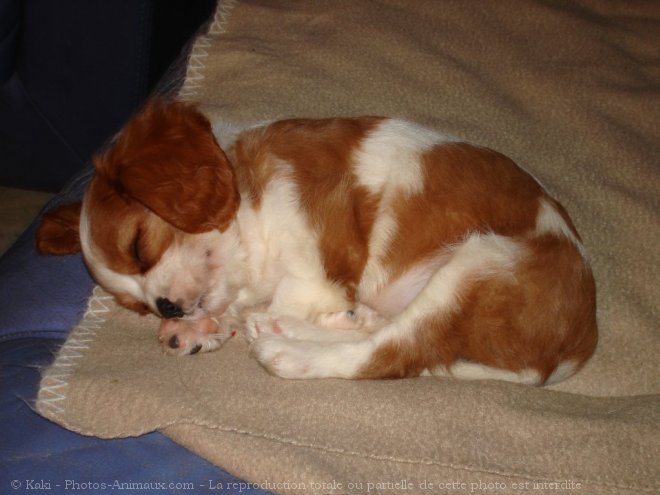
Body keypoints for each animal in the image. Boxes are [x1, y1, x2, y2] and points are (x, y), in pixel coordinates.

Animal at [37, 101, 600, 386]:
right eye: (136, 306)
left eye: (139, 247)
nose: (167, 306)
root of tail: (580, 343)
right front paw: (201, 326)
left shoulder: (317, 267)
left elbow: (286, 297)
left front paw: (229, 320)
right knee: (395, 335)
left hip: (480, 260)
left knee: (389, 351)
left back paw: (287, 345)